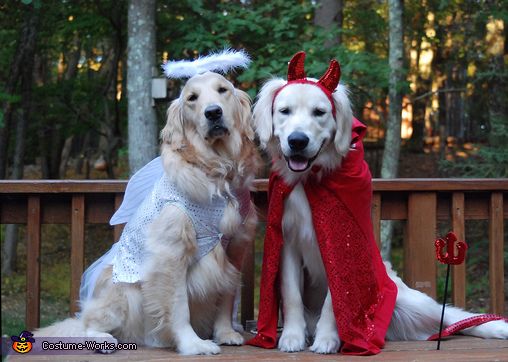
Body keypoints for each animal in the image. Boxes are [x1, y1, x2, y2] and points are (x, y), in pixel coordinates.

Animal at [34, 70, 258, 354]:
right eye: (192, 98)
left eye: (223, 90)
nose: (213, 113)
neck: (216, 170)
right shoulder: (171, 252)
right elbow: (178, 306)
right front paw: (192, 343)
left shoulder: (235, 248)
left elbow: (226, 298)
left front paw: (225, 332)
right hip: (123, 294)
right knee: (87, 323)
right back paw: (104, 339)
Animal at [245, 51, 504, 356]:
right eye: (284, 111)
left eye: (319, 112)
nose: (298, 141)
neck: (312, 180)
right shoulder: (288, 242)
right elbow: (292, 295)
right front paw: (292, 337)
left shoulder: (341, 243)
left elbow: (336, 300)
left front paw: (327, 339)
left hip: (411, 302)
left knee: (448, 316)